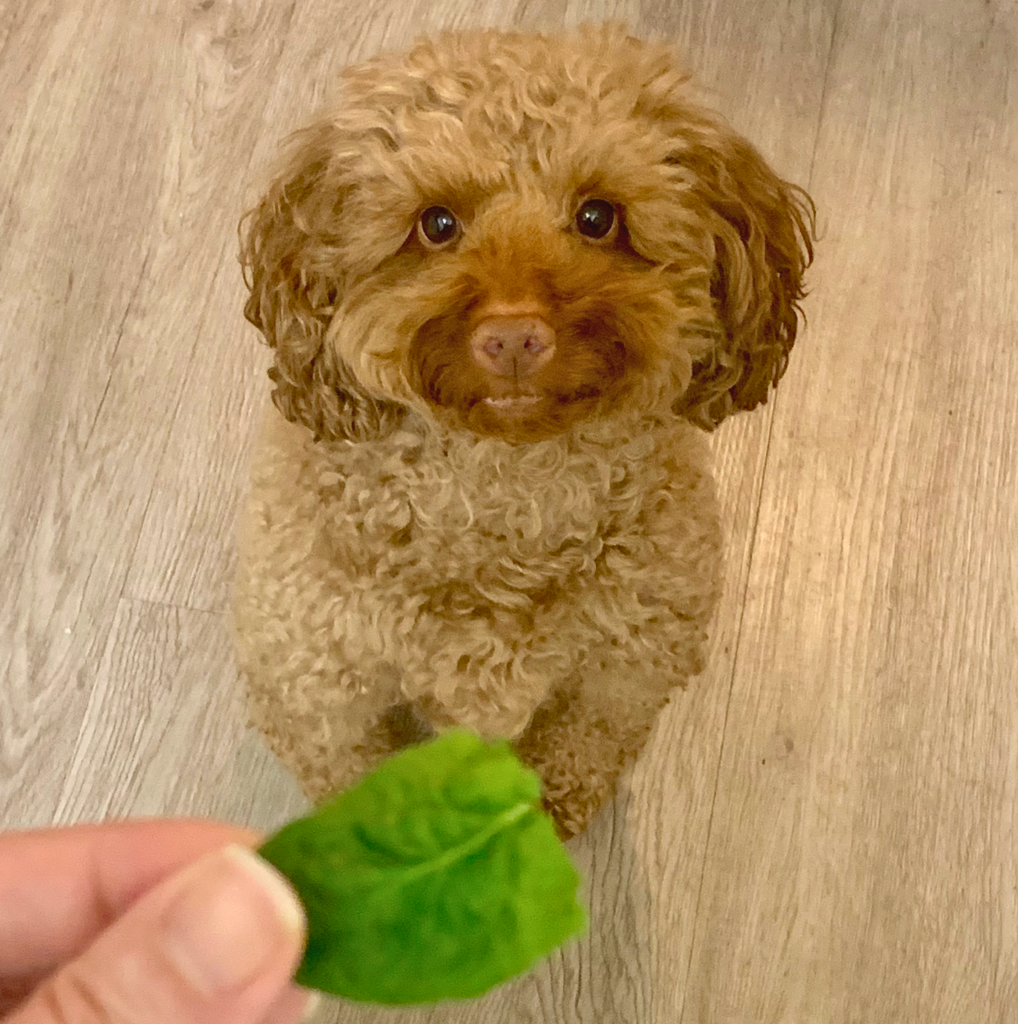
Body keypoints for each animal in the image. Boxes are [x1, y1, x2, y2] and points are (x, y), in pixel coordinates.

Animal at [234, 24, 815, 839]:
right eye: (437, 223)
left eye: (598, 217)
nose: (513, 337)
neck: (505, 492)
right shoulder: (311, 683)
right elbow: (350, 771)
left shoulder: (630, 665)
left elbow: (582, 744)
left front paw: (540, 817)